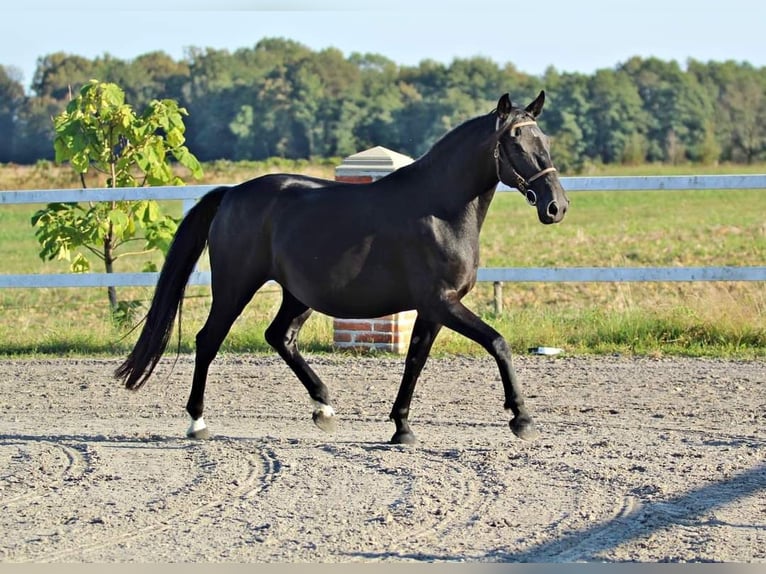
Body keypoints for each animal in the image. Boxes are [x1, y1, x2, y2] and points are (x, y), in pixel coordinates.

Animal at [115, 93, 568, 446]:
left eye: (543, 140)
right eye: (515, 142)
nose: (556, 207)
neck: (441, 210)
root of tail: (230, 194)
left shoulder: (433, 309)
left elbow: (415, 360)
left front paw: (401, 428)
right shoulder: (443, 303)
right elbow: (498, 343)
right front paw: (521, 418)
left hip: (297, 295)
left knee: (280, 337)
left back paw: (324, 407)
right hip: (235, 286)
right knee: (208, 339)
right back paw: (197, 422)